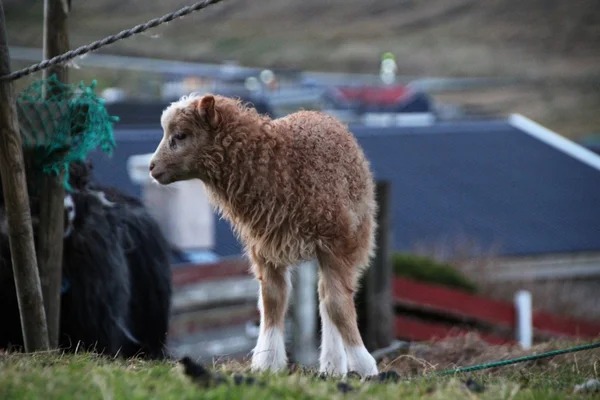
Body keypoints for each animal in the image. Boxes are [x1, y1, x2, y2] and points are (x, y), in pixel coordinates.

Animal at [148, 94, 378, 378]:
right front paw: (267, 362)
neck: (276, 164)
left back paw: (335, 363)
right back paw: (332, 365)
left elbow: (336, 304)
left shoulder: (336, 242)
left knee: (330, 299)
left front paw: (365, 365)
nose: (152, 167)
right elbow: (272, 300)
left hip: (357, 233)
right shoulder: (265, 245)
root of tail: (320, 115)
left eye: (180, 135)